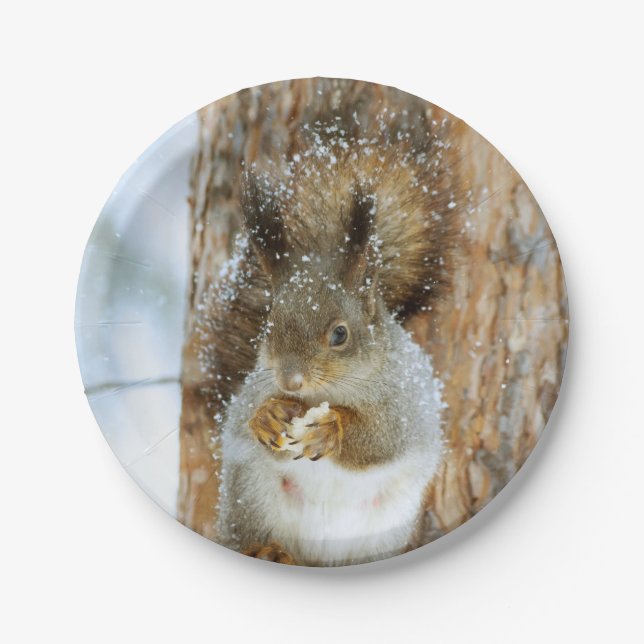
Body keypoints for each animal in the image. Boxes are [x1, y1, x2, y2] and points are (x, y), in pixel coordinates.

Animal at [204, 116, 462, 566]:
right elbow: (244, 417)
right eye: (269, 323)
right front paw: (266, 416)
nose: (289, 382)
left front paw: (332, 429)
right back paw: (266, 550)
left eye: (340, 334)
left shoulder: (408, 403)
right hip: (248, 495)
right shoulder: (251, 391)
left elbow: (383, 438)